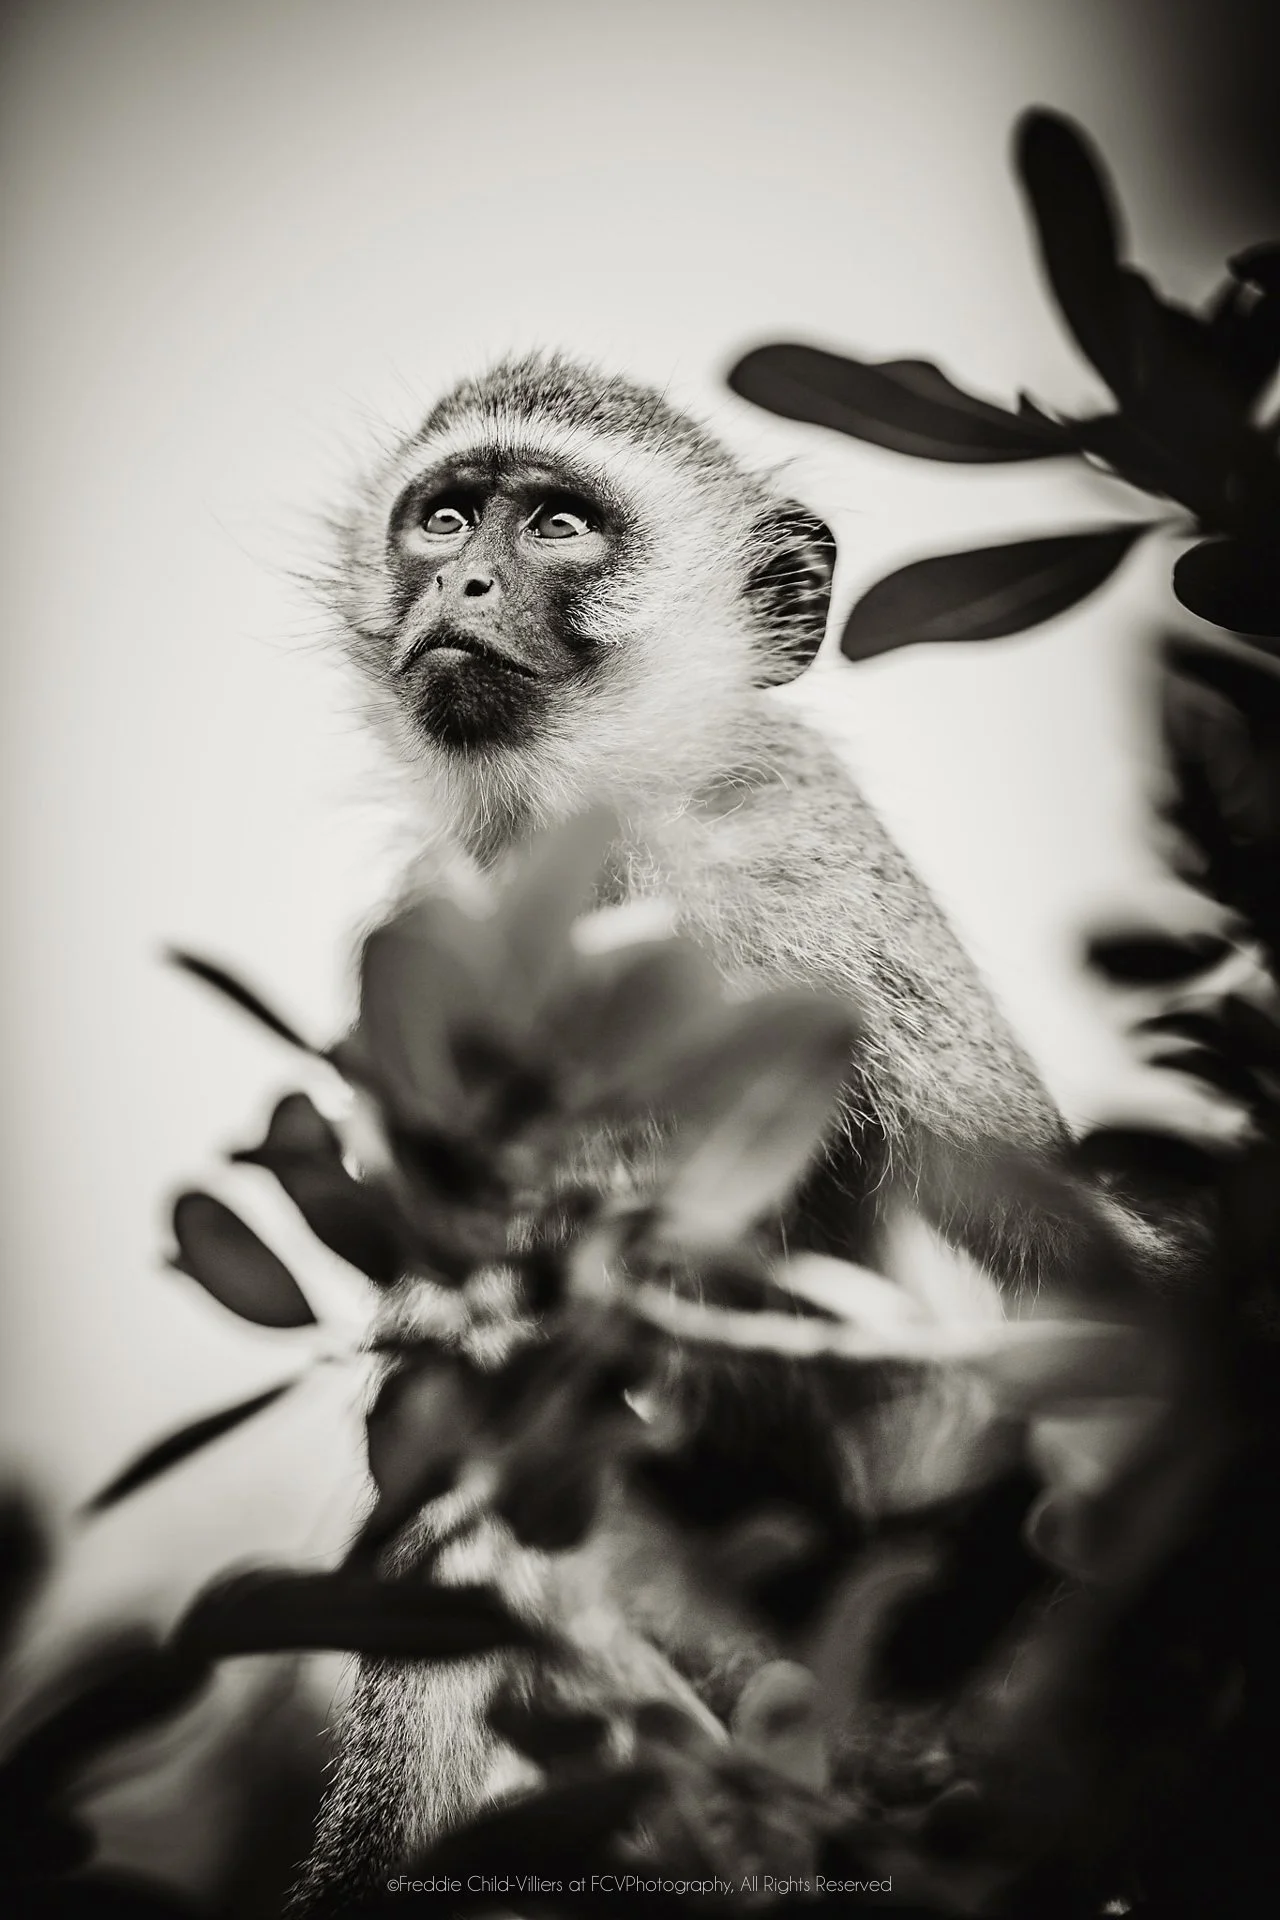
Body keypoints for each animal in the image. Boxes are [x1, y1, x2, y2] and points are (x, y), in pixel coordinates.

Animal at [290, 352, 1206, 1910]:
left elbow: (1065, 1249)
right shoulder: (429, 941)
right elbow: (450, 1418)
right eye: (446, 516)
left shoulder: (818, 876)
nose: (460, 584)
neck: (601, 863)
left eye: (558, 529)